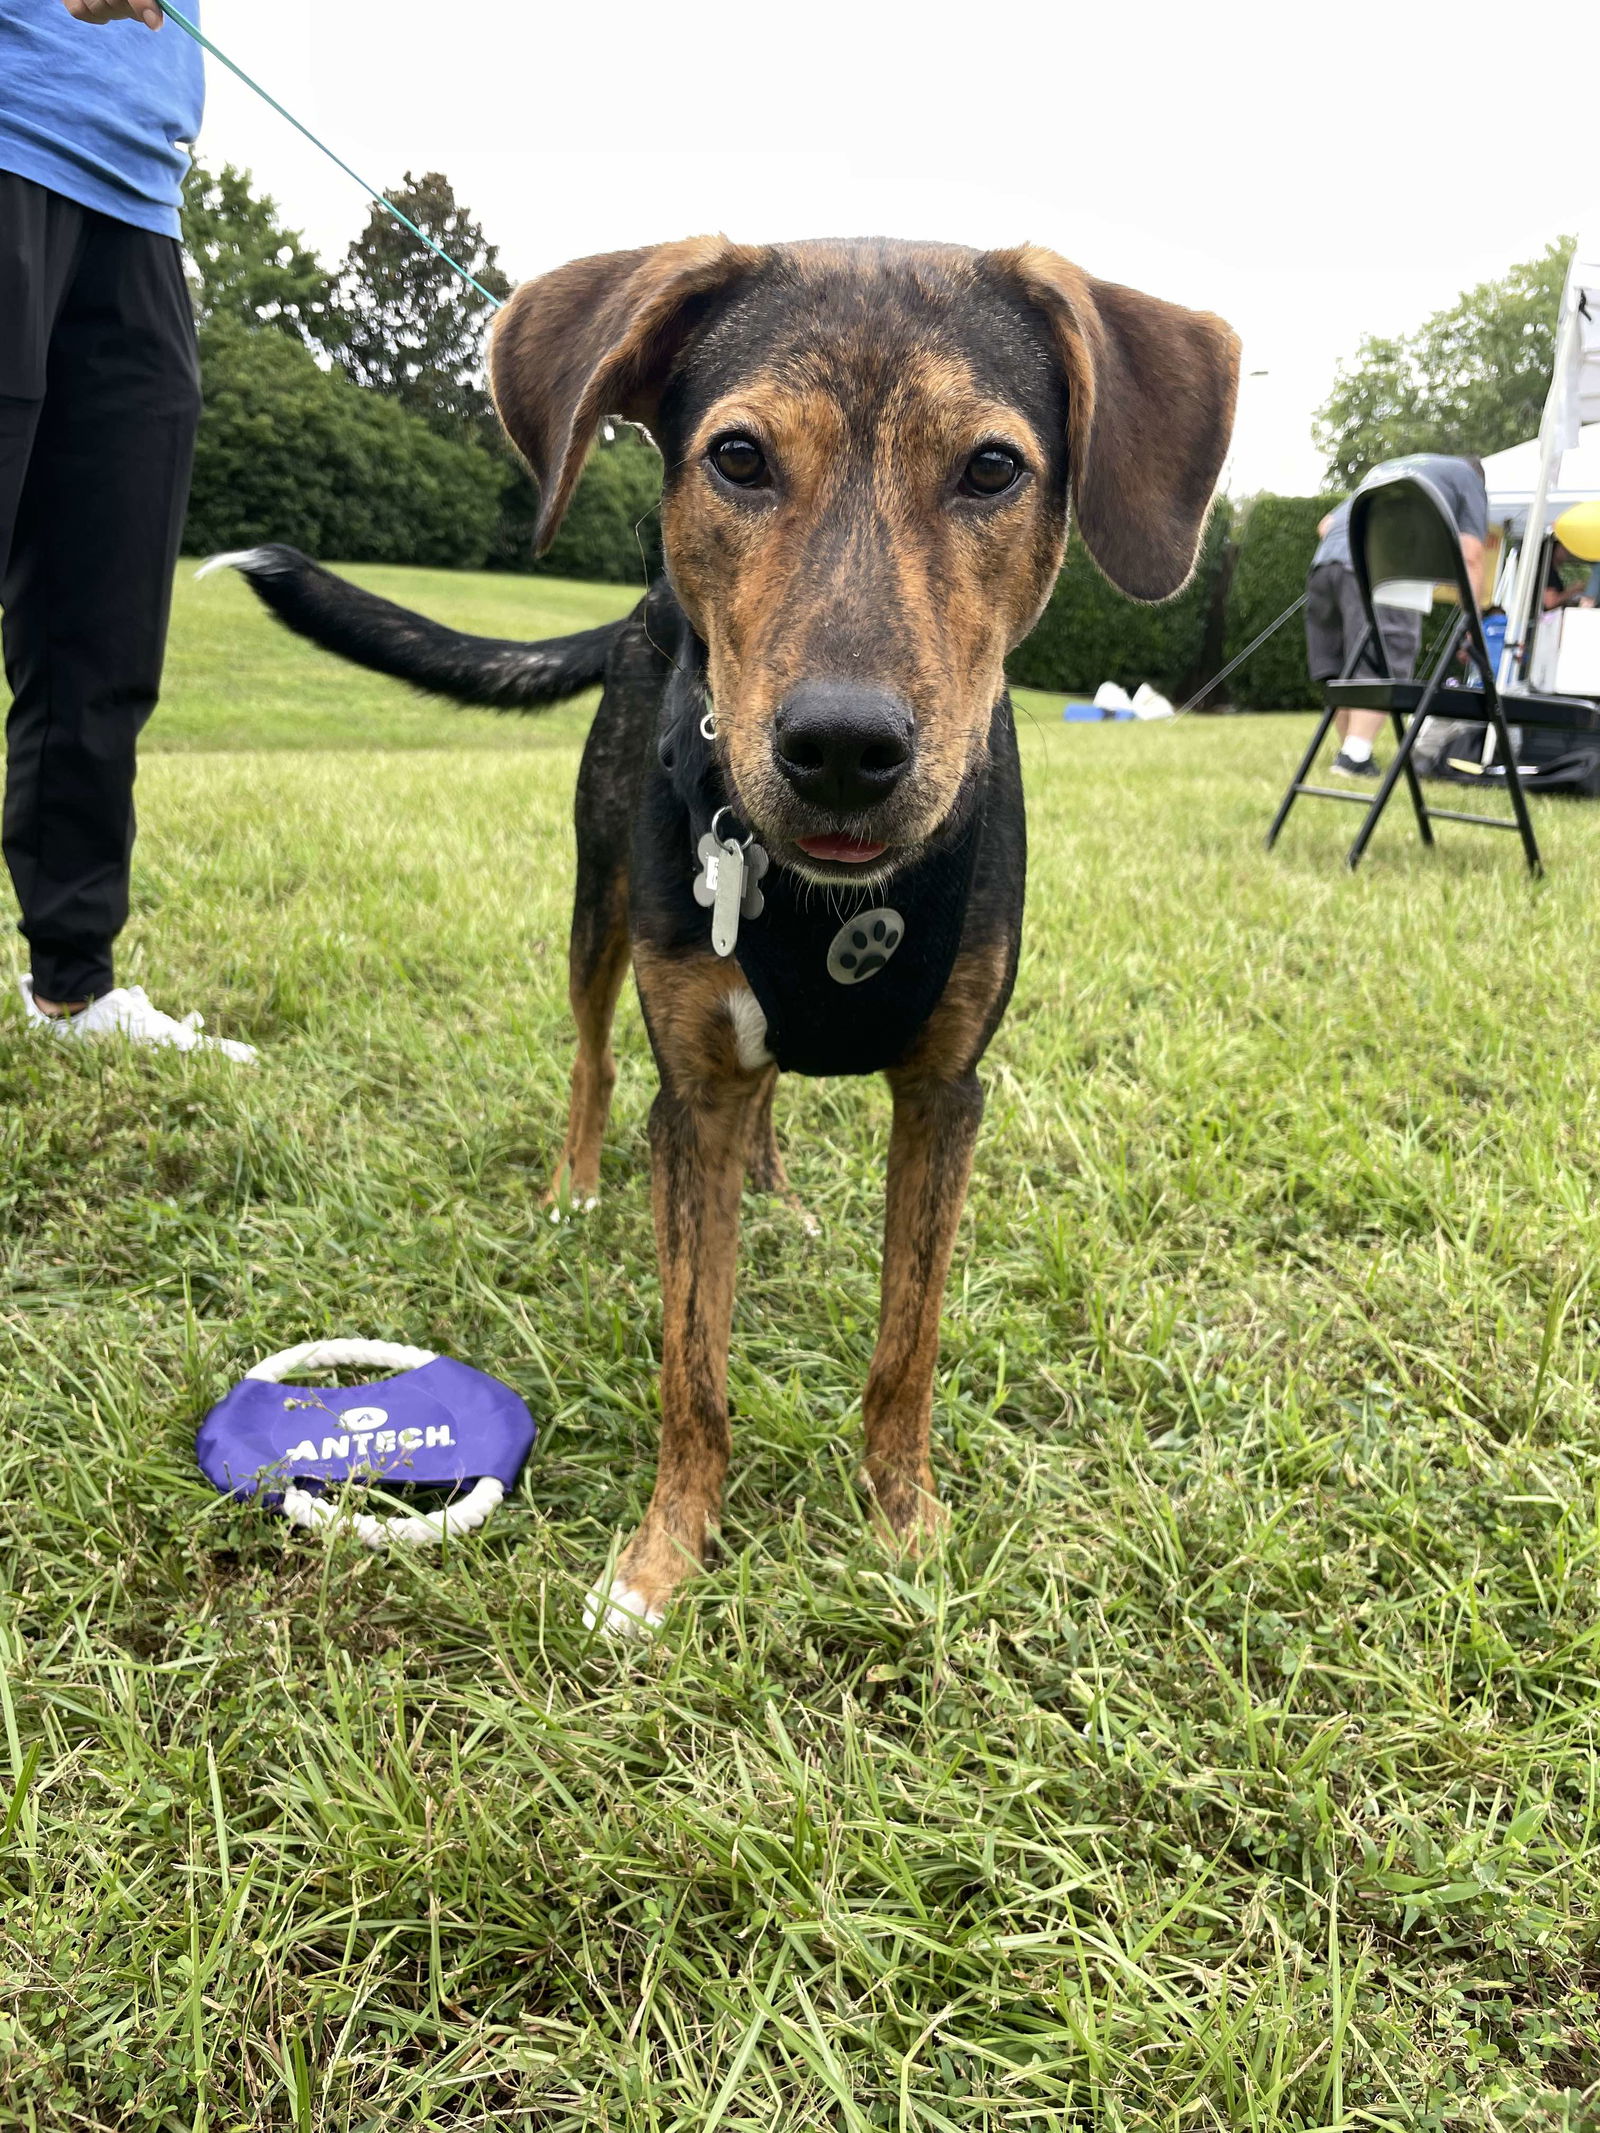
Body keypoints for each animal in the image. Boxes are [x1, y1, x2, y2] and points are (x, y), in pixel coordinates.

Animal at [219, 237, 1237, 1629]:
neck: (833, 902)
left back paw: (776, 1195)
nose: (843, 748)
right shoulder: (688, 1090)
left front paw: (904, 1524)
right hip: (596, 909)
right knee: (595, 1057)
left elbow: (907, 1343)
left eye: (991, 468)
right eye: (739, 457)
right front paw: (662, 1560)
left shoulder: (946, 1089)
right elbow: (690, 1363)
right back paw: (577, 1187)